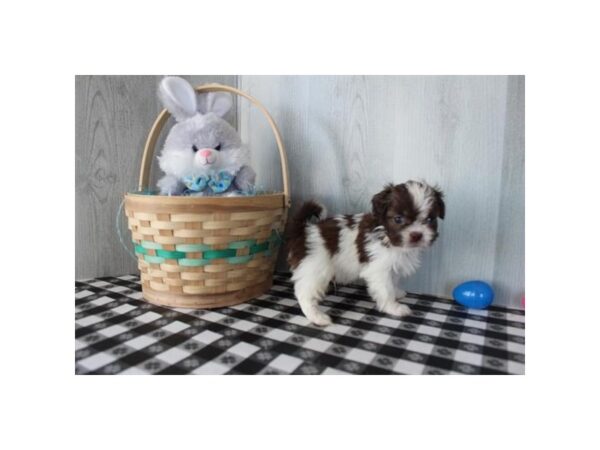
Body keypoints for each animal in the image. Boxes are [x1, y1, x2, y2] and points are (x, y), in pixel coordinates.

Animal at [286, 181, 446, 326]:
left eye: (430, 219)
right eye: (398, 219)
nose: (416, 235)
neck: (386, 235)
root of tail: (303, 231)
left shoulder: (392, 266)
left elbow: (393, 282)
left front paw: (397, 293)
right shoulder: (379, 269)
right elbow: (386, 289)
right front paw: (393, 307)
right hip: (315, 268)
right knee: (304, 293)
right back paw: (317, 317)